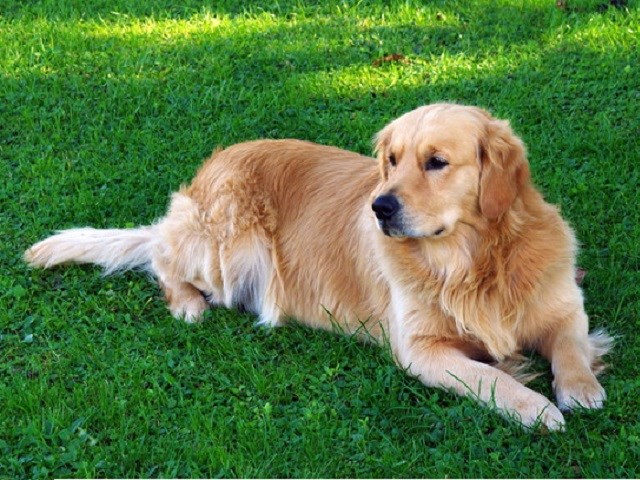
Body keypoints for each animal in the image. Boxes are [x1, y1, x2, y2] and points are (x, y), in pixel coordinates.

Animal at [26, 103, 616, 430]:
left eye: (437, 162)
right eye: (392, 161)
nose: (380, 207)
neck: (470, 262)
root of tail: (205, 173)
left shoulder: (564, 305)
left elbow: (569, 342)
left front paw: (579, 388)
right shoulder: (420, 350)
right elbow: (489, 378)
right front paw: (535, 407)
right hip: (228, 248)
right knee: (161, 258)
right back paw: (188, 304)